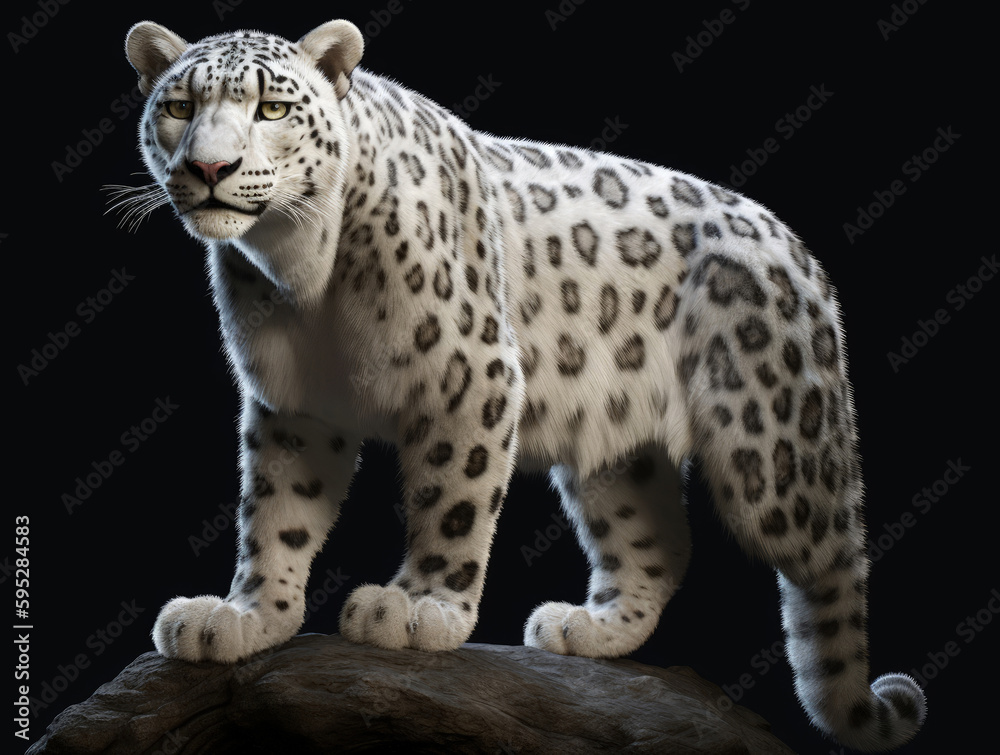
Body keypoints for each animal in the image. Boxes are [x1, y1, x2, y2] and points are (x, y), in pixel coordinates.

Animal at [120, 18, 925, 751]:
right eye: (180, 105)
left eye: (272, 108)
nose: (211, 168)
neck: (297, 265)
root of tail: (795, 246)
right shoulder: (293, 403)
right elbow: (275, 512)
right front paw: (246, 615)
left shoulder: (467, 374)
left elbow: (450, 497)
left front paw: (417, 607)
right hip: (616, 450)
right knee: (657, 541)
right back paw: (588, 627)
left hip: (772, 452)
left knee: (833, 557)